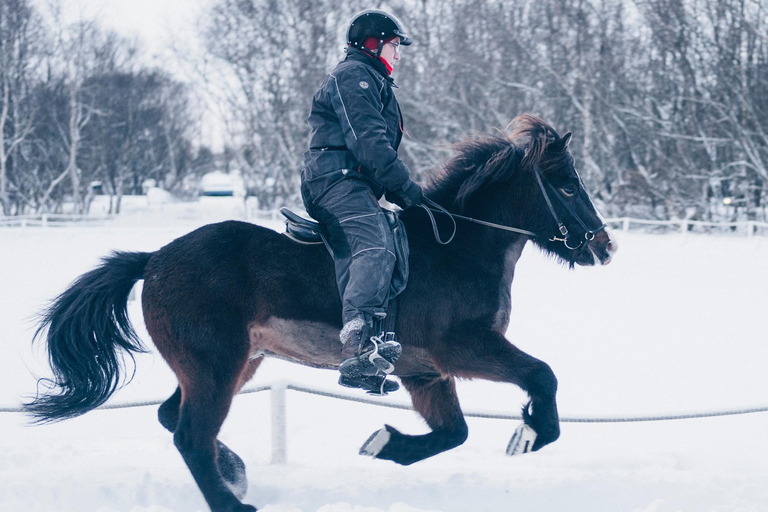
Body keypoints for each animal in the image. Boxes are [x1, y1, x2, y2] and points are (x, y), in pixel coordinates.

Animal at [25, 115, 616, 512]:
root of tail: (153, 259)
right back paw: (233, 500)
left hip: (237, 363)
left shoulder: (424, 371)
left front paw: (386, 444)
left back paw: (234, 472)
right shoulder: (464, 349)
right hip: (215, 364)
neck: (459, 250)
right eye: (567, 185)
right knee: (189, 434)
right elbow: (542, 376)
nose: (603, 246)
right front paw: (530, 433)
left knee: (176, 419)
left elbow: (453, 434)